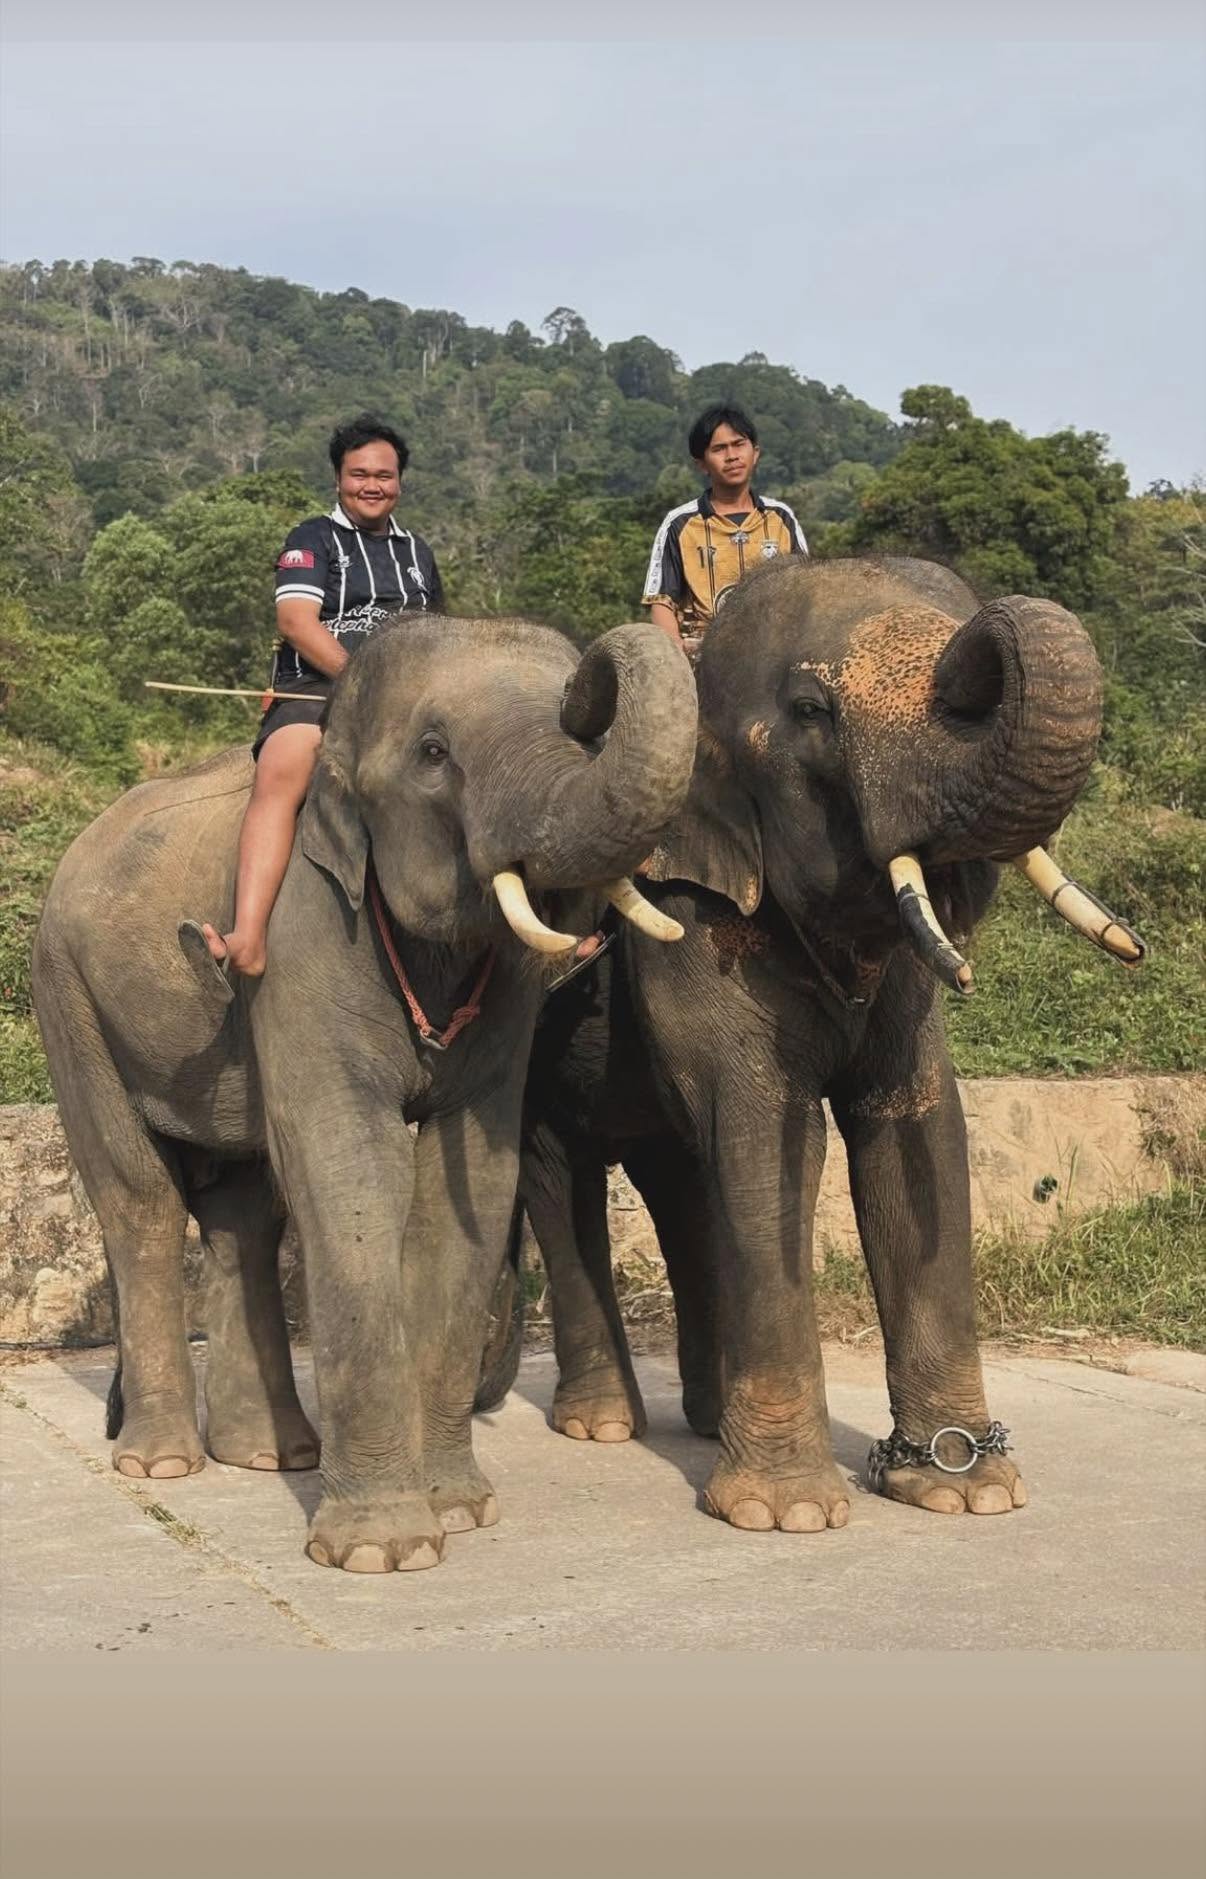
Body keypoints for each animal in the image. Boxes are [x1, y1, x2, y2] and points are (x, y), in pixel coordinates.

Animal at [31, 613, 697, 1572]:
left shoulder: (504, 996)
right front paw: (388, 1552)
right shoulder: (305, 931)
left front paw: (461, 1511)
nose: (592, 682)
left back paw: (271, 1454)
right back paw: (164, 1464)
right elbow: (352, 1166)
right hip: (69, 995)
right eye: (433, 751)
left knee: (242, 1210)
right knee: (141, 1199)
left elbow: (469, 1179)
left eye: (583, 728)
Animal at [511, 556, 1143, 1533]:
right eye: (812, 710)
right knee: (563, 1173)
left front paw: (962, 1488)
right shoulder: (693, 917)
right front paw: (787, 1515)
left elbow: (916, 1128)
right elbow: (771, 1132)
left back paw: (706, 1419)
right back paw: (604, 1424)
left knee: (683, 1180)